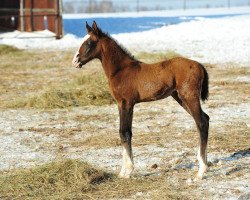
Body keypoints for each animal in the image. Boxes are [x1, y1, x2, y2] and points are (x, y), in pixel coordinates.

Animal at [72, 21, 209, 179]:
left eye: (89, 42)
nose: (75, 61)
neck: (121, 70)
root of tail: (200, 65)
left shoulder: (126, 103)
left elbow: (125, 133)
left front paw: (127, 171)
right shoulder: (122, 104)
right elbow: (124, 132)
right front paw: (122, 172)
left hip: (189, 96)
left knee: (201, 122)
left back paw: (201, 171)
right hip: (180, 98)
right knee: (205, 119)